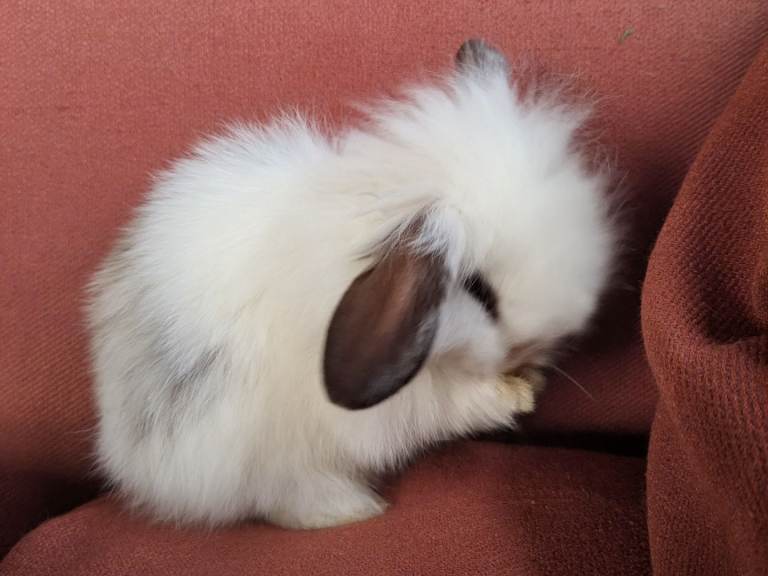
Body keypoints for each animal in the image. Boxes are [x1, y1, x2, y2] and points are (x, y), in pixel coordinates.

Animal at [86, 39, 617, 530]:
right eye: (477, 289)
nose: (534, 347)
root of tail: (126, 459)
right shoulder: (397, 407)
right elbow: (452, 406)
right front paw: (517, 394)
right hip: (267, 462)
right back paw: (353, 510)